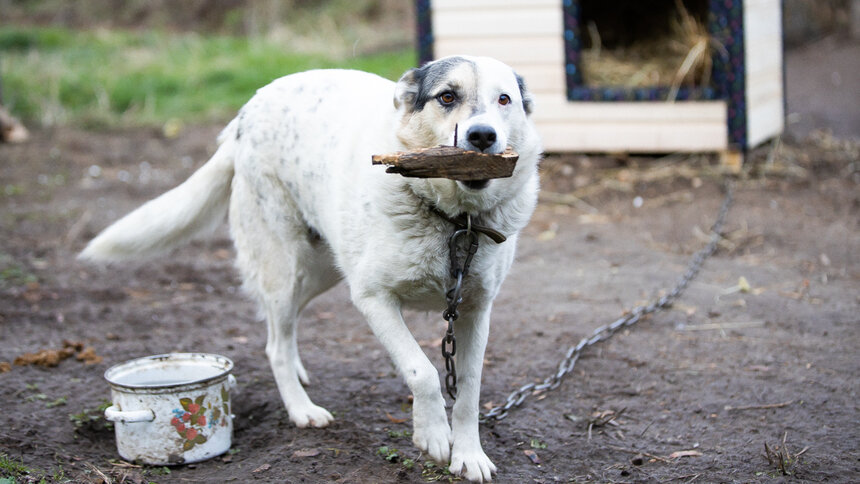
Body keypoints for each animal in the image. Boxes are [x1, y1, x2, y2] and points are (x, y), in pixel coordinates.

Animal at [79, 55, 536, 480]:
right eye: (447, 97)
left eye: (504, 99)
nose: (482, 136)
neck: (454, 219)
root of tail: (246, 112)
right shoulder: (372, 298)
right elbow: (420, 370)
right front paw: (434, 435)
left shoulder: (474, 309)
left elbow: (469, 389)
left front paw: (469, 455)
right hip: (286, 268)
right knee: (275, 343)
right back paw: (301, 408)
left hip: (322, 271)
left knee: (283, 326)